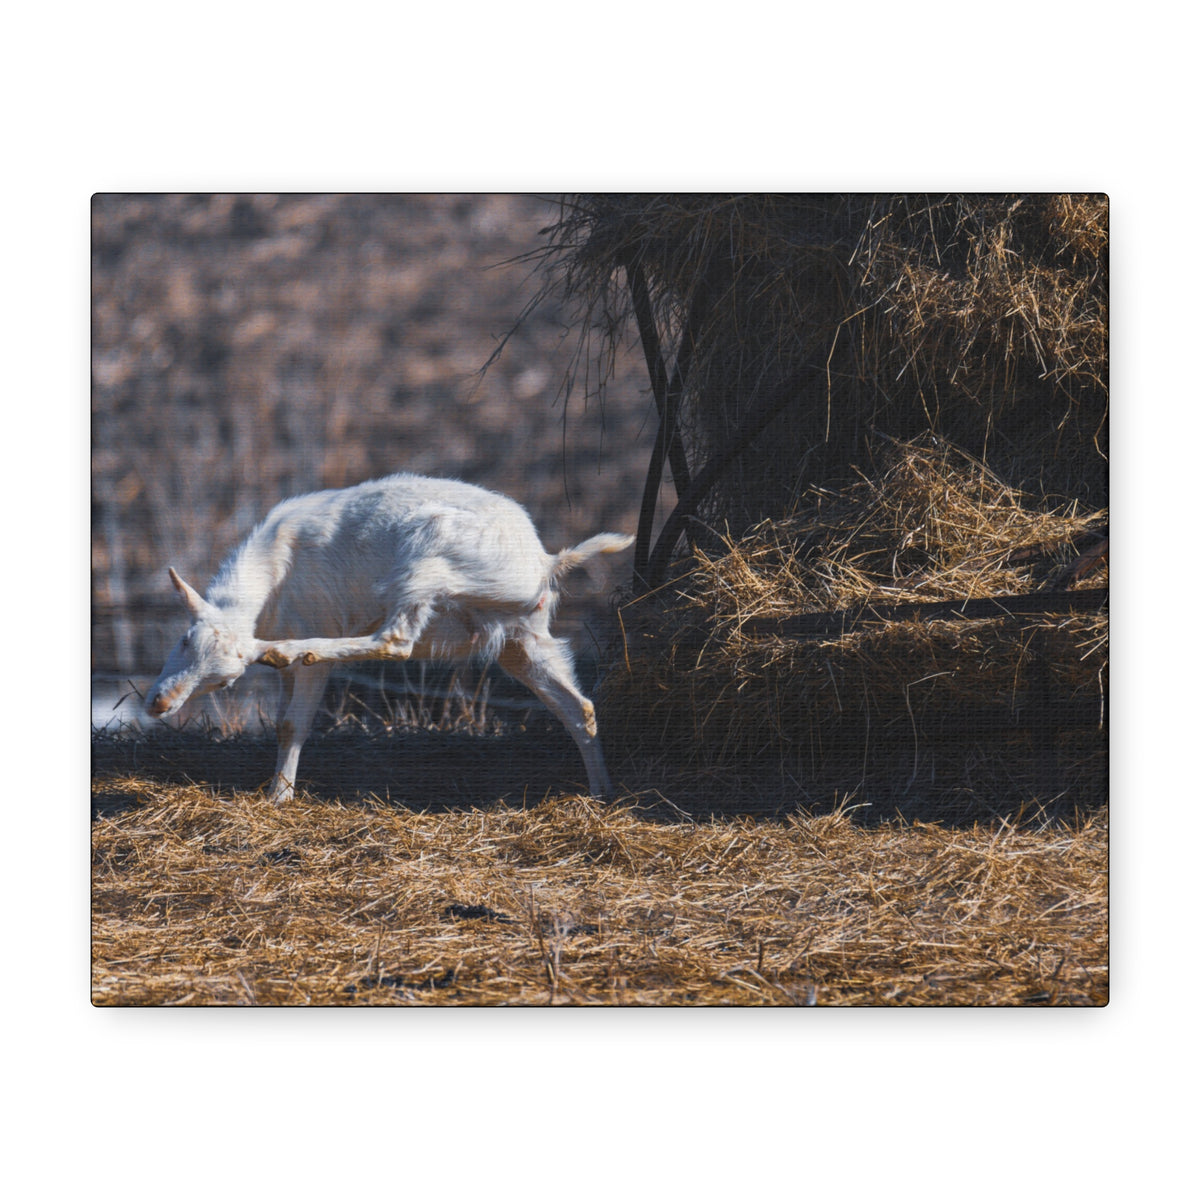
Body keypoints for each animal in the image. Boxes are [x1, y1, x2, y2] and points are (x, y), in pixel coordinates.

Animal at [145, 473, 633, 801]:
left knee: (395, 639)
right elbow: (285, 719)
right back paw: (602, 791)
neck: (273, 570)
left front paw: (277, 798)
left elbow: (292, 724)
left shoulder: (317, 620)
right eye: (184, 640)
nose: (159, 704)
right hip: (523, 638)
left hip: (426, 561)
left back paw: (287, 652)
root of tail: (544, 562)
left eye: (225, 682)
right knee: (578, 707)